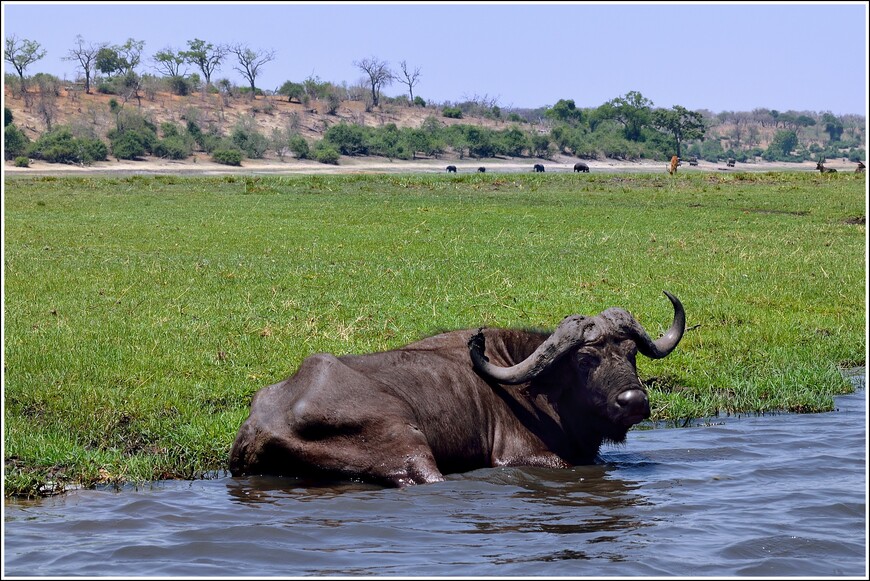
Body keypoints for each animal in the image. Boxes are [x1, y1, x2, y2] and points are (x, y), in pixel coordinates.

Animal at [230, 290, 688, 484]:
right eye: (585, 360)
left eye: (630, 353)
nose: (634, 401)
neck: (541, 390)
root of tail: (260, 425)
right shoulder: (527, 459)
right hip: (410, 446)